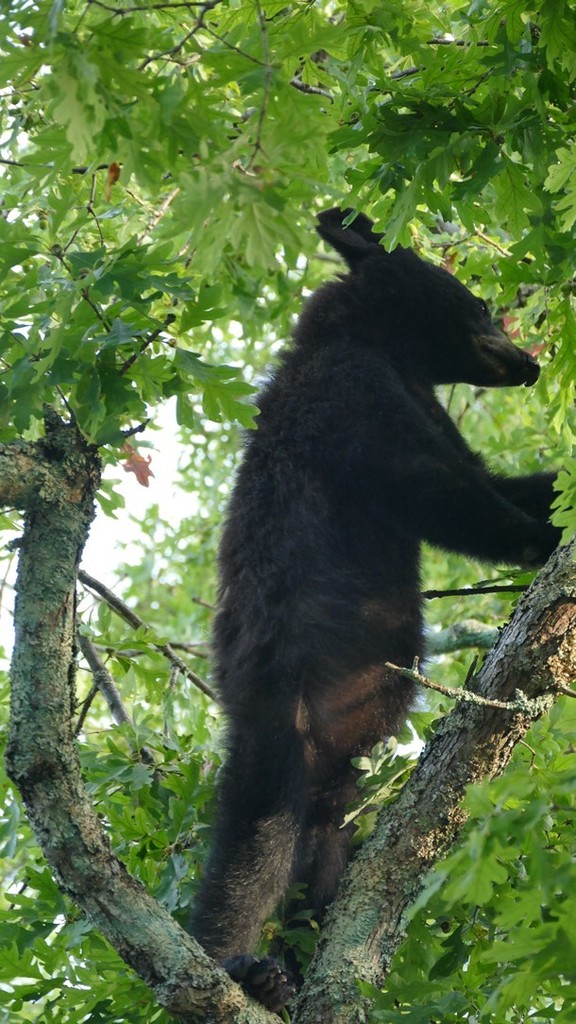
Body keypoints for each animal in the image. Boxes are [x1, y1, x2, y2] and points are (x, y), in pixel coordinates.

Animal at [190, 205, 557, 1007]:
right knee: (257, 839)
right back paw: (238, 965)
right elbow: (431, 487)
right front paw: (540, 540)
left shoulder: (425, 405)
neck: (370, 342)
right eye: (479, 304)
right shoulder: (351, 396)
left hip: (341, 768)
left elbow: (494, 478)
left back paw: (301, 960)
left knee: (323, 849)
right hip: (278, 708)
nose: (531, 362)